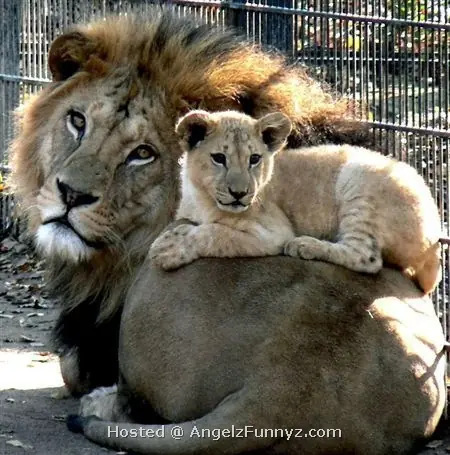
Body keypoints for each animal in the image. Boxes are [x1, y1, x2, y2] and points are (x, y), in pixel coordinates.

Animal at [150, 110, 442, 294]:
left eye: (254, 159)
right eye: (219, 158)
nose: (239, 193)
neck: (201, 196)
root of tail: (435, 237)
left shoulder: (272, 232)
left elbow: (215, 233)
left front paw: (169, 247)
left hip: (359, 178)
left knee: (366, 257)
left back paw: (305, 246)